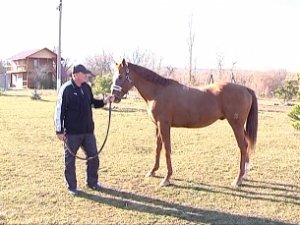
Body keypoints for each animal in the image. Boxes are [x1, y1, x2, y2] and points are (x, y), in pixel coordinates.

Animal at [110, 59, 258, 187]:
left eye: (120, 76)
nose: (113, 97)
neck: (158, 92)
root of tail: (245, 89)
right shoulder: (158, 126)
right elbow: (158, 148)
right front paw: (153, 171)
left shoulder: (164, 125)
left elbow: (166, 149)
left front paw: (167, 178)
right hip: (240, 126)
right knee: (246, 145)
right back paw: (244, 175)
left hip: (236, 125)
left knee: (243, 147)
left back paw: (238, 179)